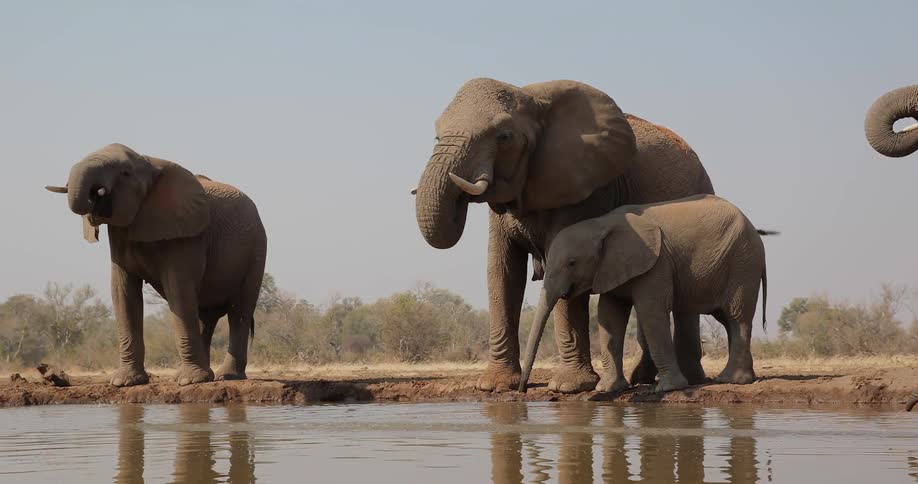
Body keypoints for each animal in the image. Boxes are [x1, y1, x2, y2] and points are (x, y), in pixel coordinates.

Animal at [45, 143, 267, 386]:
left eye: (125, 173)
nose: (96, 194)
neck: (150, 164)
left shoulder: (186, 233)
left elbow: (178, 290)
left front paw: (189, 382)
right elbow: (123, 294)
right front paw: (125, 382)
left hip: (257, 248)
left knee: (239, 312)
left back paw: (225, 377)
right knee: (204, 316)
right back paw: (202, 376)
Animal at [414, 77, 716, 393]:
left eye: (504, 136)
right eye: (437, 134)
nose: (523, 390)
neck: (532, 97)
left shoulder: (586, 186)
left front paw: (568, 387)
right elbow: (503, 271)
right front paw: (495, 386)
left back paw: (689, 379)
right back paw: (642, 379)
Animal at [519, 194, 767, 393]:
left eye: (572, 263)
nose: (522, 390)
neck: (601, 224)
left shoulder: (656, 263)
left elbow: (651, 314)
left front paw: (667, 388)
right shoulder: (611, 267)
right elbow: (609, 317)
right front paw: (609, 389)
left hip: (743, 263)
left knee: (737, 318)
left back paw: (731, 380)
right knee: (727, 319)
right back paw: (743, 378)